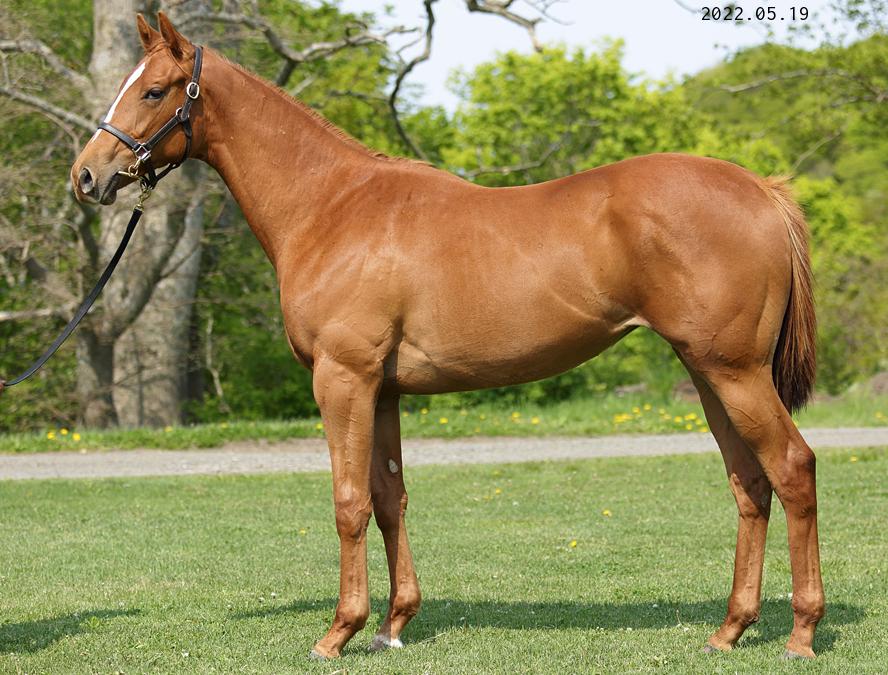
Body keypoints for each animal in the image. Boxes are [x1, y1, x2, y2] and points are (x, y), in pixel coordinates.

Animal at [71, 12, 824, 660]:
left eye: (155, 89)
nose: (87, 175)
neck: (330, 205)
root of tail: (762, 189)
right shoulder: (383, 390)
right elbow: (388, 496)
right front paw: (393, 624)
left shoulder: (342, 378)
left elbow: (348, 501)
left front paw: (338, 632)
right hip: (708, 373)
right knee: (749, 484)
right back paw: (729, 630)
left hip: (734, 371)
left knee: (792, 469)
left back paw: (801, 632)